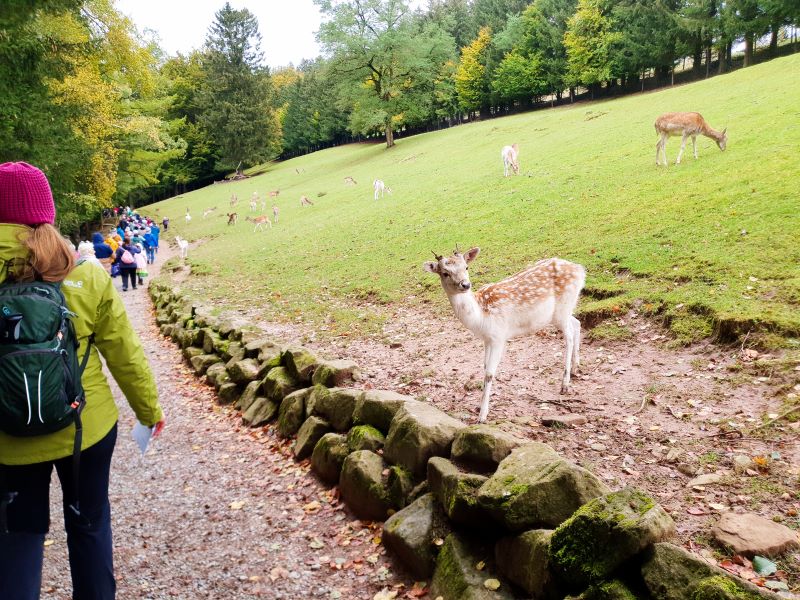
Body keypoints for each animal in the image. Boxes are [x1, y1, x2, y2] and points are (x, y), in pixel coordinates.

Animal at [424, 247, 588, 422]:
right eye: (445, 273)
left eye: (466, 267)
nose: (465, 284)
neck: (480, 317)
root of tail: (580, 270)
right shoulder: (487, 339)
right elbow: (484, 367)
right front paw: (479, 407)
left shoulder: (499, 336)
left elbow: (489, 373)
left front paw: (482, 415)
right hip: (562, 312)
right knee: (577, 323)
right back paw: (576, 368)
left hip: (563, 308)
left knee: (569, 336)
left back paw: (565, 384)